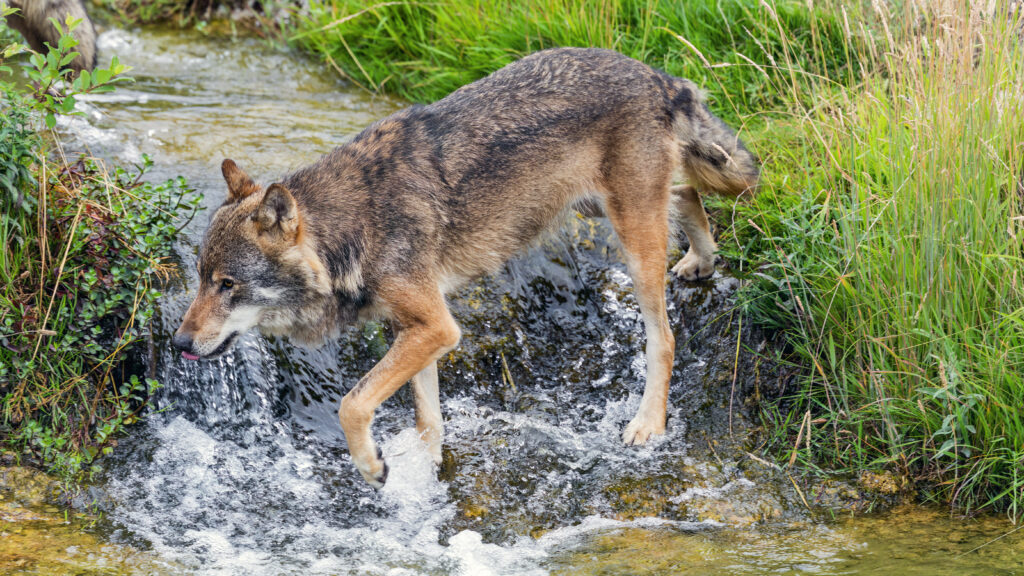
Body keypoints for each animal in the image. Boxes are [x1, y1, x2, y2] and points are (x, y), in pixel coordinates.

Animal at [173, 48, 758, 488]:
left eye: (228, 285)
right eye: (199, 278)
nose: (178, 343)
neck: (354, 228)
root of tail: (660, 77)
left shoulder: (435, 326)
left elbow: (351, 404)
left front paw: (372, 467)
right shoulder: (420, 329)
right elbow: (426, 418)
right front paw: (425, 472)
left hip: (632, 243)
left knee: (665, 337)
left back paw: (647, 424)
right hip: (599, 208)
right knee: (686, 194)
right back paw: (701, 261)